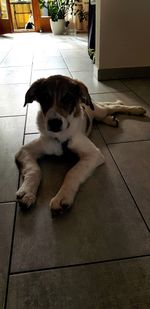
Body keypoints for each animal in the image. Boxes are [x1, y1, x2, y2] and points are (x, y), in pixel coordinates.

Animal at [15, 74, 146, 215]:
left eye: (68, 98)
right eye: (45, 97)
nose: (54, 123)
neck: (61, 137)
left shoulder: (94, 154)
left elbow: (73, 172)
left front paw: (62, 196)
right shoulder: (25, 151)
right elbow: (34, 170)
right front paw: (27, 192)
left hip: (99, 110)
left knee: (112, 107)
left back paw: (135, 109)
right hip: (98, 113)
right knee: (103, 113)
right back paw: (110, 119)